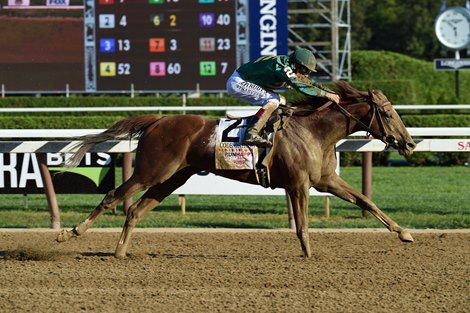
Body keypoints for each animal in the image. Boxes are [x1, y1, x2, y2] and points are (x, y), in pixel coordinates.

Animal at [57, 81, 414, 258]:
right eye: (387, 112)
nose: (409, 144)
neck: (314, 131)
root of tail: (158, 120)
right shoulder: (298, 184)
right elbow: (302, 225)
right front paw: (310, 255)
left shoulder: (326, 180)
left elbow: (365, 200)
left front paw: (404, 233)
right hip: (151, 171)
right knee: (113, 197)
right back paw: (70, 232)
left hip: (173, 177)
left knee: (135, 210)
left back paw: (120, 252)